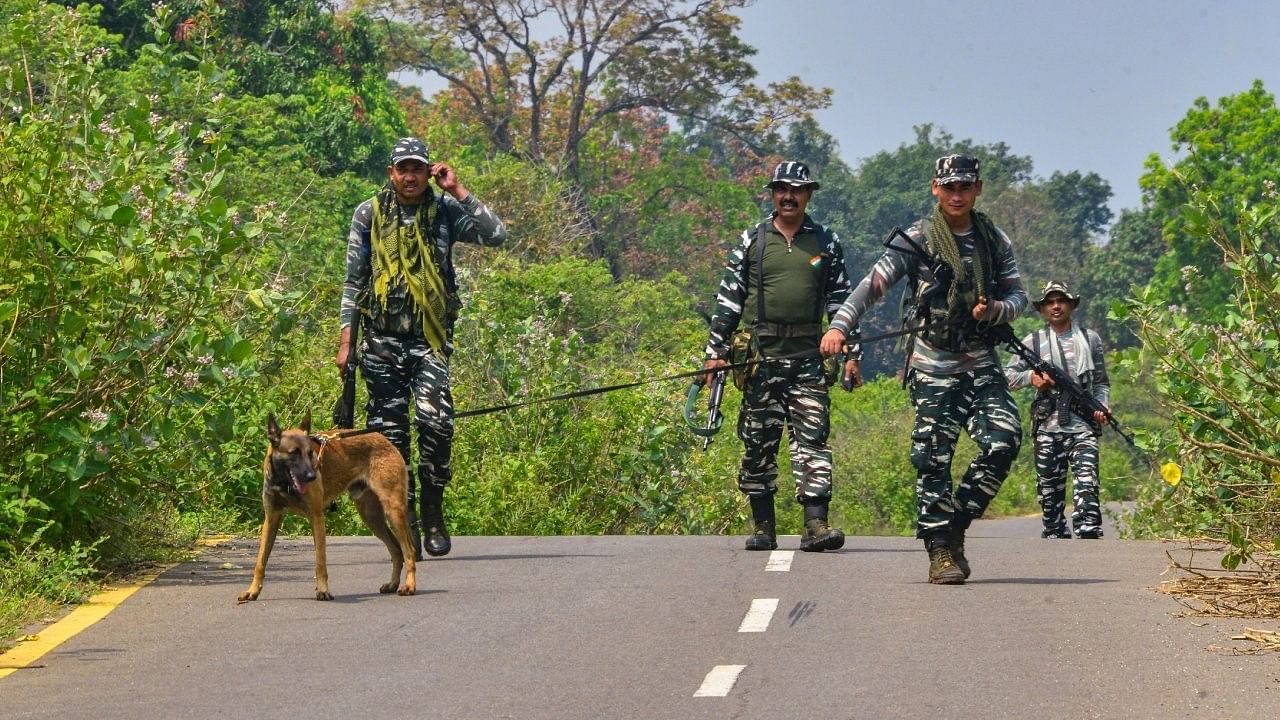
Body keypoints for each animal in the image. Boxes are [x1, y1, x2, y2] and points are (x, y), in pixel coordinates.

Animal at [238, 409, 417, 599]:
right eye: (294, 453)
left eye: (310, 453)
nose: (312, 476)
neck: (284, 482)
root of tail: (386, 440)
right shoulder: (271, 519)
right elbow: (260, 561)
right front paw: (252, 590)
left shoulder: (317, 518)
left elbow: (320, 561)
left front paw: (323, 590)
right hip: (372, 517)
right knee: (396, 550)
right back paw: (393, 584)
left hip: (393, 510)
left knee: (409, 551)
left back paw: (409, 586)